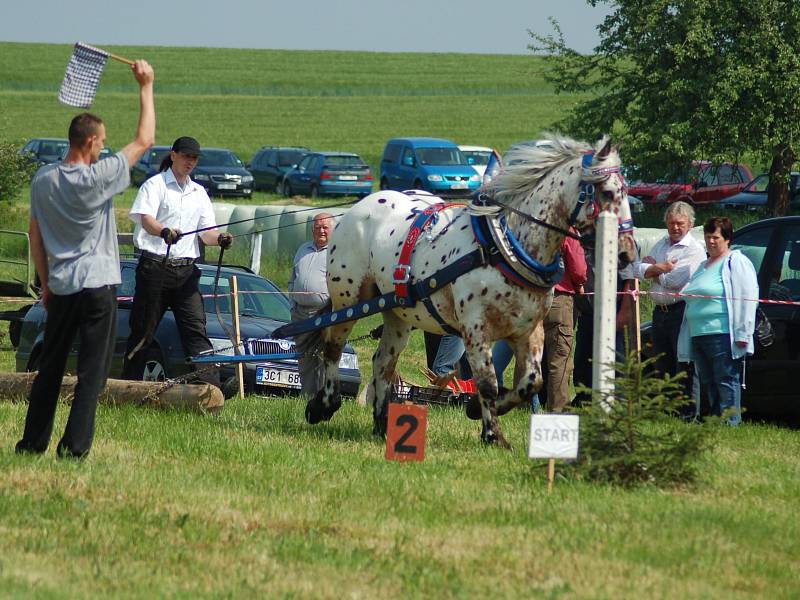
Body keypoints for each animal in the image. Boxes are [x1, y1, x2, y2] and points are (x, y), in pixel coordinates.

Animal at [276, 135, 636, 446]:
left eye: (627, 191)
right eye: (607, 192)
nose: (627, 254)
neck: (504, 247)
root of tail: (360, 206)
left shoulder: (528, 329)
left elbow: (530, 382)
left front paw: (478, 411)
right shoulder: (475, 328)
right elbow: (488, 384)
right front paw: (493, 434)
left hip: (398, 314)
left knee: (383, 363)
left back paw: (381, 424)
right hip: (348, 298)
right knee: (333, 347)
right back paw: (323, 405)